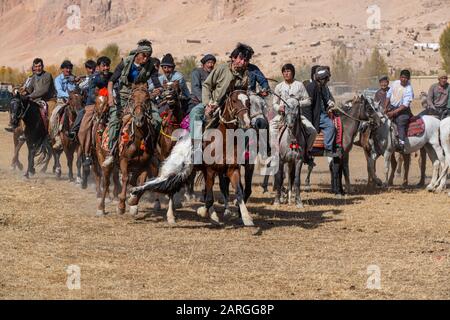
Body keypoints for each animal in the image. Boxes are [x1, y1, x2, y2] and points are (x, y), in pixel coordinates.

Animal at [132, 89, 255, 226]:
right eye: (234, 101)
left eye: (248, 102)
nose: (246, 122)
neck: (222, 140)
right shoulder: (210, 171)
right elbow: (209, 198)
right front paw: (202, 212)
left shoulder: (232, 169)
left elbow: (238, 192)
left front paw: (246, 218)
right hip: (174, 166)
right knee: (169, 187)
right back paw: (169, 215)